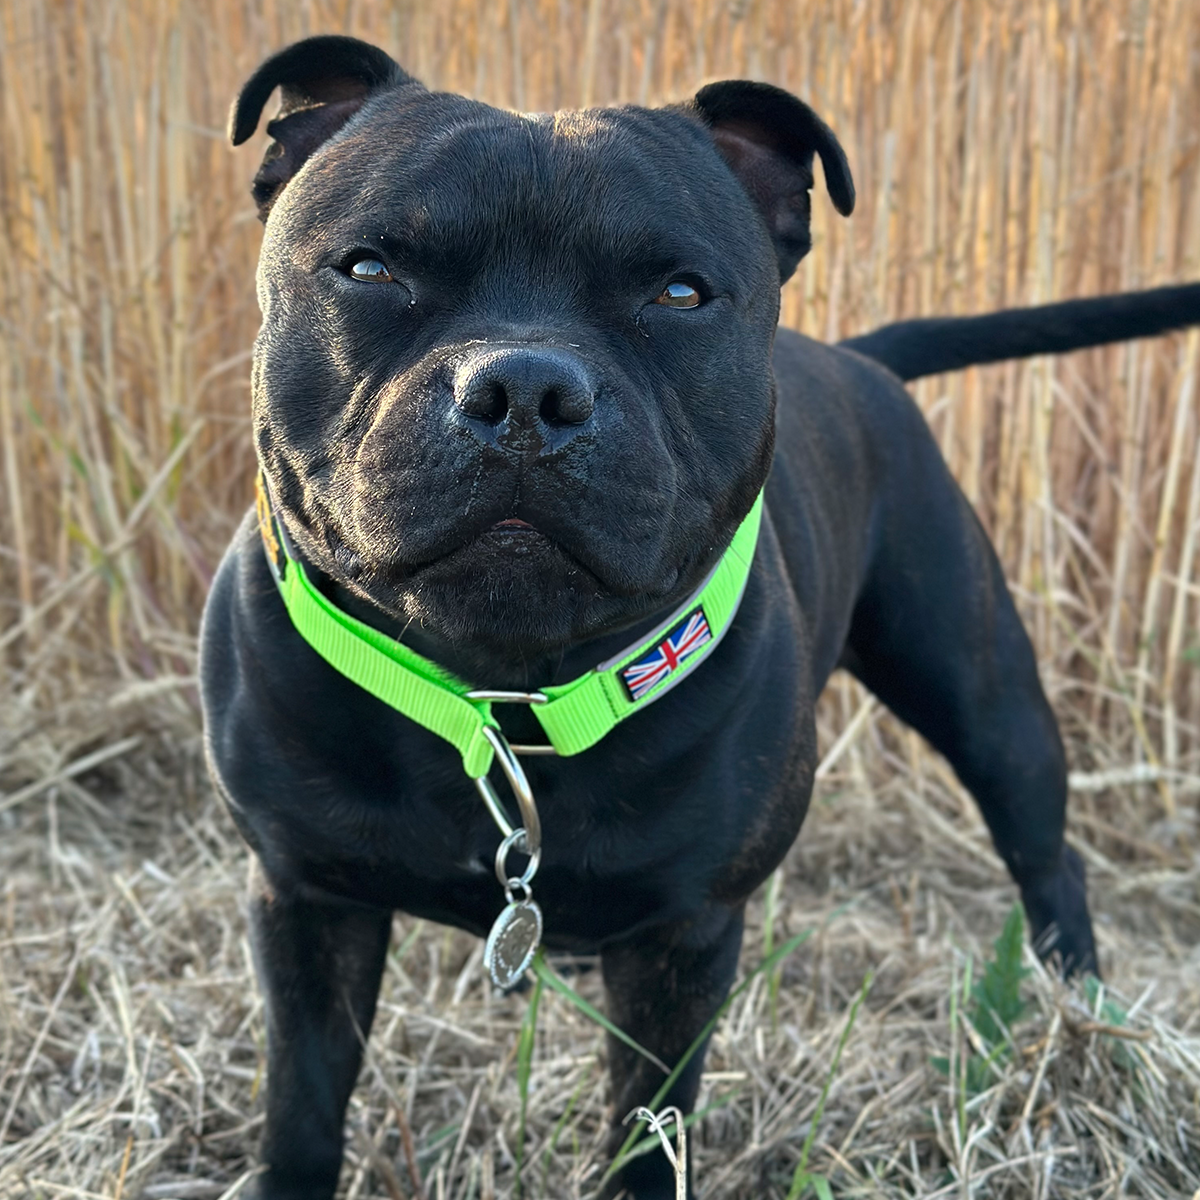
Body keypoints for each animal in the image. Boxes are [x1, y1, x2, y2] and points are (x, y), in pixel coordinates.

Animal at [204, 32, 1200, 1195]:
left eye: (681, 294)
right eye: (370, 268)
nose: (525, 390)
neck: (503, 697)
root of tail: (860, 356)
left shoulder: (681, 943)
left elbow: (649, 1129)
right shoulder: (308, 902)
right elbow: (304, 1107)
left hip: (985, 697)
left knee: (1046, 852)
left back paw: (1083, 1010)